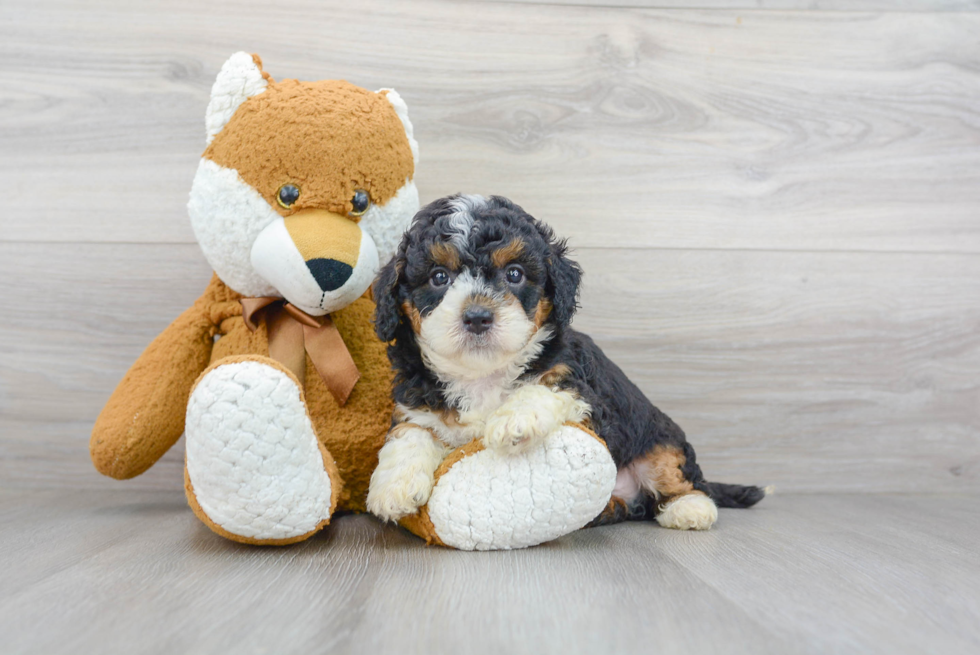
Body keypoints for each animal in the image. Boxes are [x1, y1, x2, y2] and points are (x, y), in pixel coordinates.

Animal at [368, 196, 764, 532]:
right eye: (439, 277)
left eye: (514, 274)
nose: (478, 317)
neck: (483, 374)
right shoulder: (417, 401)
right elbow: (411, 432)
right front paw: (393, 487)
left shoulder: (585, 392)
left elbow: (543, 386)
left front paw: (514, 420)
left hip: (658, 438)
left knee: (677, 472)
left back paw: (690, 508)